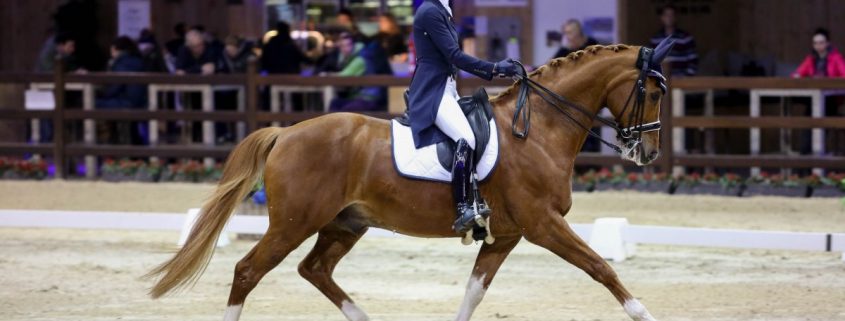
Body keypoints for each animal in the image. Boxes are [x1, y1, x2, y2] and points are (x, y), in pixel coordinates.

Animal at [150, 45, 664, 320]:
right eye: (655, 91)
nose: (650, 152)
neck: (537, 130)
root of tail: (287, 133)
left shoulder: (507, 234)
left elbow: (474, 292)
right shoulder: (543, 223)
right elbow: (601, 268)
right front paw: (646, 312)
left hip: (344, 223)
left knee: (315, 269)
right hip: (293, 223)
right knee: (247, 271)